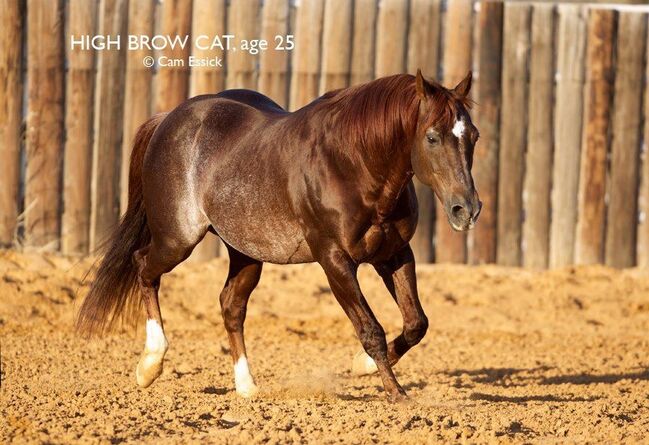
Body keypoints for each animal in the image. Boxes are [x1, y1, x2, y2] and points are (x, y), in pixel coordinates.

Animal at [76, 70, 480, 402]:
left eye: (473, 136)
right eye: (432, 137)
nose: (467, 209)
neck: (353, 164)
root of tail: (168, 119)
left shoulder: (394, 253)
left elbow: (416, 324)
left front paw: (361, 366)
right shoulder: (334, 260)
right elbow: (371, 329)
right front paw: (396, 394)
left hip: (245, 251)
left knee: (231, 306)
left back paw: (246, 387)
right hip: (178, 239)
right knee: (144, 266)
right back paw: (150, 365)